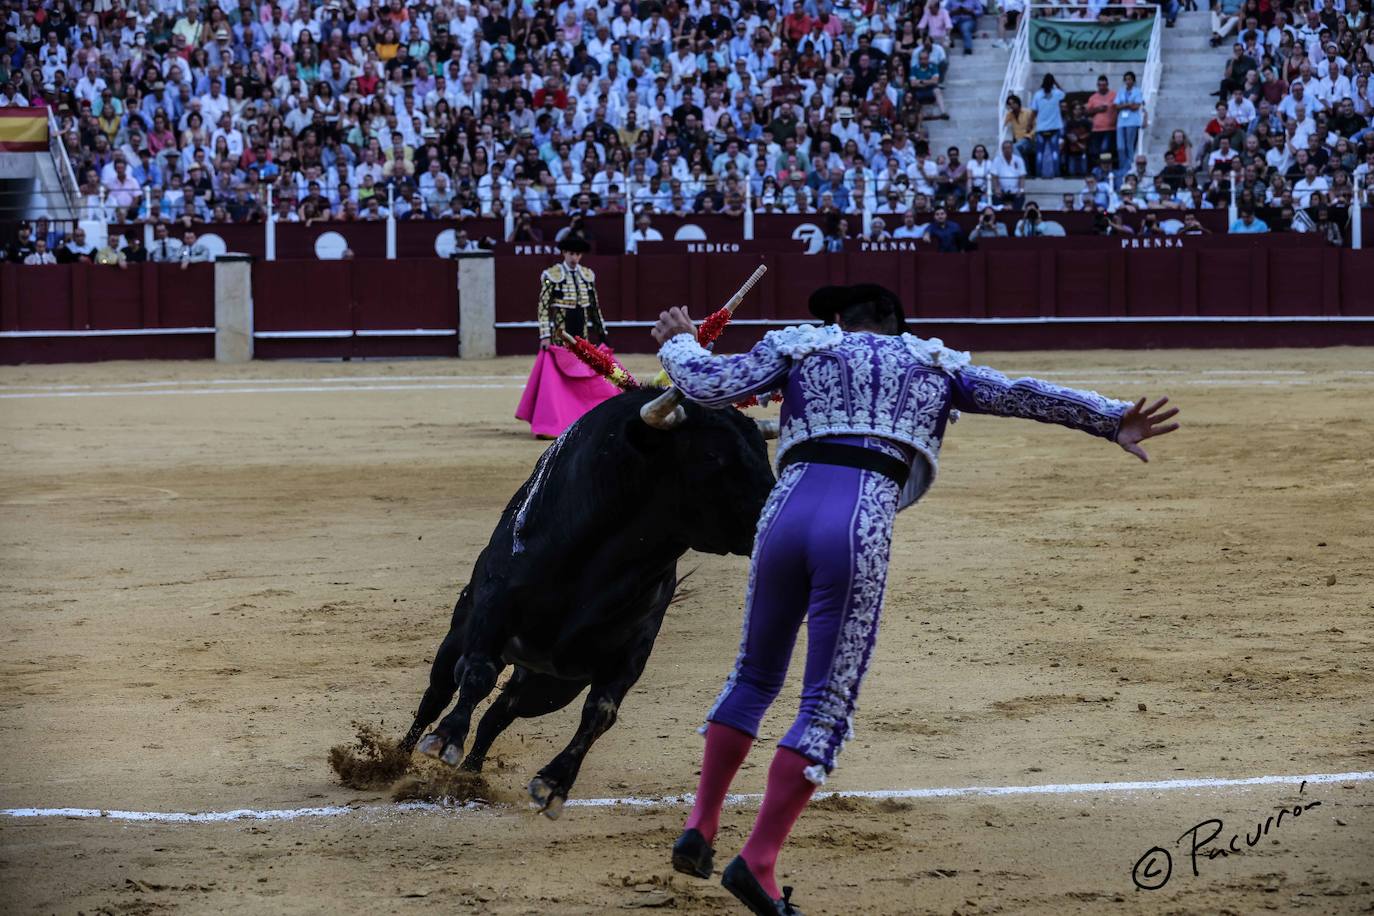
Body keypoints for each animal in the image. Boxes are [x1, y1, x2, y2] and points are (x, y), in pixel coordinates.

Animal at [401, 387, 780, 818]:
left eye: (761, 453)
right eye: (712, 455)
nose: (777, 511)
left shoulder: (632, 649)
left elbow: (600, 712)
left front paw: (553, 785)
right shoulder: (493, 610)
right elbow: (478, 673)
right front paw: (446, 739)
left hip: (547, 686)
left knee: (500, 714)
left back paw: (469, 777)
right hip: (460, 635)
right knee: (438, 693)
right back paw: (395, 761)